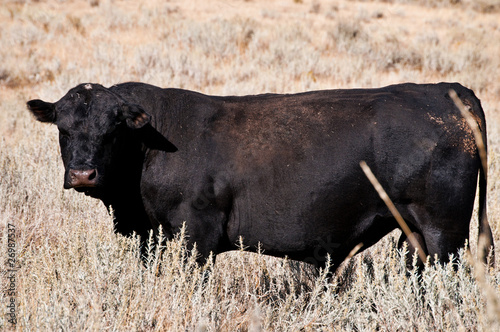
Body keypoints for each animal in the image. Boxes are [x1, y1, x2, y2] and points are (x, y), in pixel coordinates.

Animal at [26, 82, 492, 270]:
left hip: (445, 229)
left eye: (113, 129)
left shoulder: (196, 234)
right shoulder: (149, 234)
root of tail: (446, 89)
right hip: (414, 233)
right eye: (63, 129)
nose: (83, 173)